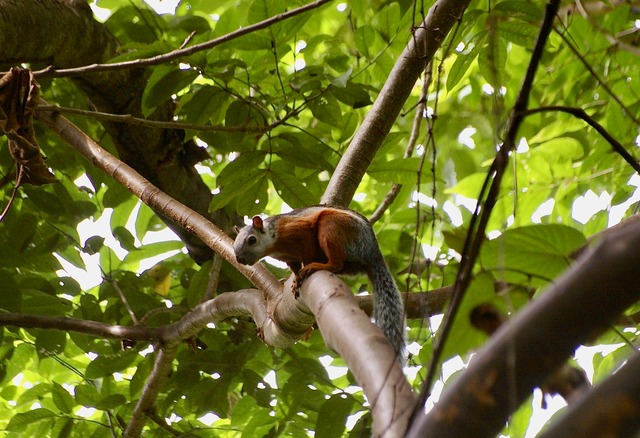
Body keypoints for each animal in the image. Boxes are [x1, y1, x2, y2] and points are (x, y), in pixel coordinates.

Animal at [234, 205, 404, 362]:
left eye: (252, 240)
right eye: (235, 243)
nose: (239, 259)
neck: (274, 243)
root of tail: (372, 253)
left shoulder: (299, 231)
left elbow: (307, 251)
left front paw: (303, 271)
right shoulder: (289, 257)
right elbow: (295, 267)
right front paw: (295, 279)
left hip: (332, 226)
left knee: (336, 263)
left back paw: (317, 266)